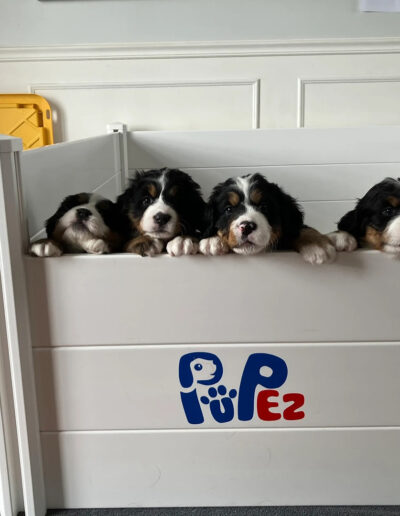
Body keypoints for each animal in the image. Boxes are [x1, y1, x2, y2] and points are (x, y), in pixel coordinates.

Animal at [200, 174, 334, 266]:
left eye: (264, 207)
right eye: (228, 209)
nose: (247, 226)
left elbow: (303, 229)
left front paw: (317, 245)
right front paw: (212, 240)